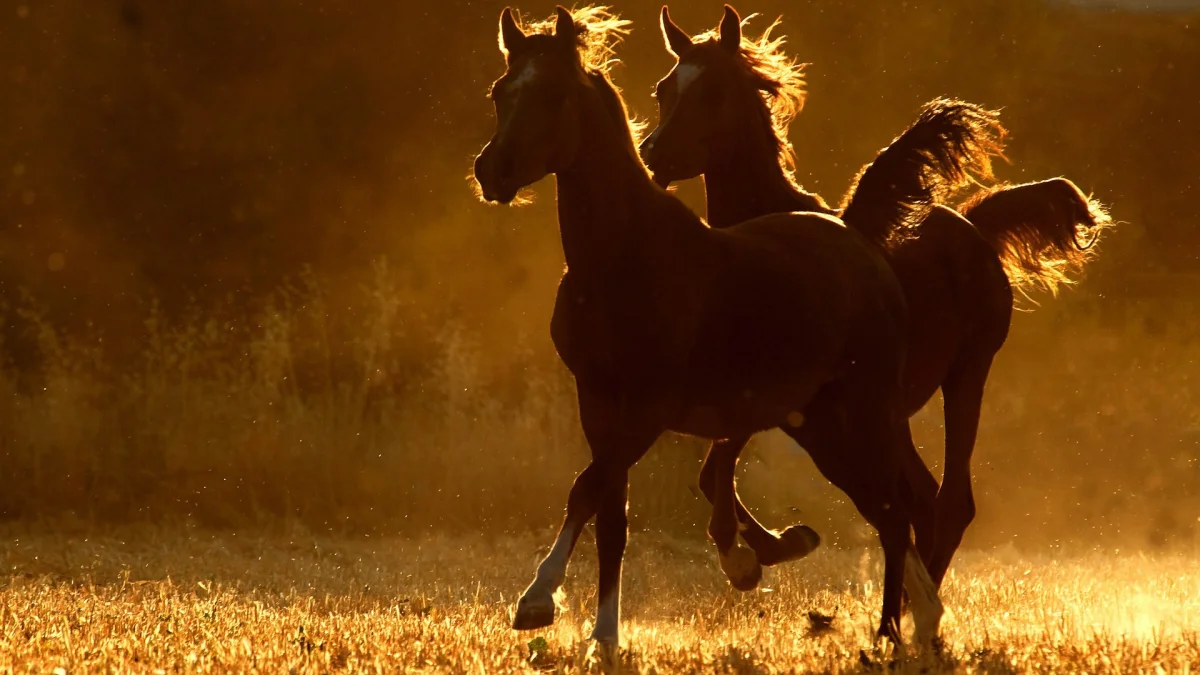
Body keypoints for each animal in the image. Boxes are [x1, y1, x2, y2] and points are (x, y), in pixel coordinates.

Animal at [472, 5, 1001, 647]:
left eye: (553, 94)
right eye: (501, 91)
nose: (492, 171)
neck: (625, 259)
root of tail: (864, 246)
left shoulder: (652, 406)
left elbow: (589, 489)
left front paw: (537, 600)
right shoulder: (598, 401)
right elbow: (610, 515)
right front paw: (604, 636)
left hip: (887, 404)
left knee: (907, 507)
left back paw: (898, 630)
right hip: (823, 423)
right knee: (891, 507)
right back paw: (914, 620)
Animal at [640, 4, 1113, 589]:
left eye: (713, 91)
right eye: (664, 88)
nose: (652, 154)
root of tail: (972, 224)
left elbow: (717, 467)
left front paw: (749, 557)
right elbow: (713, 472)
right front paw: (777, 546)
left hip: (965, 375)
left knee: (949, 503)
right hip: (893, 415)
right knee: (924, 501)